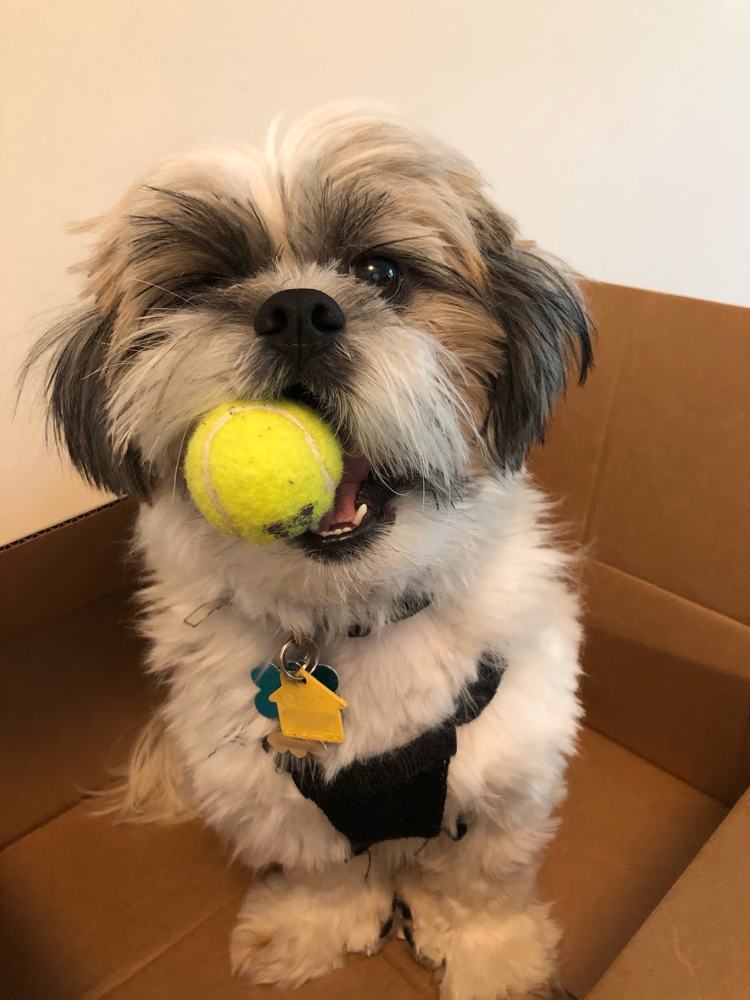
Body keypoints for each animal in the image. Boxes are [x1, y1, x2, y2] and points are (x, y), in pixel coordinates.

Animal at [26, 107, 592, 1000]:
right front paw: (309, 928)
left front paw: (494, 955)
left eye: (381, 271)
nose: (297, 309)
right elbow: (323, 870)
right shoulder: (271, 792)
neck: (356, 614)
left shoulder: (505, 771)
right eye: (203, 285)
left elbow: (477, 881)